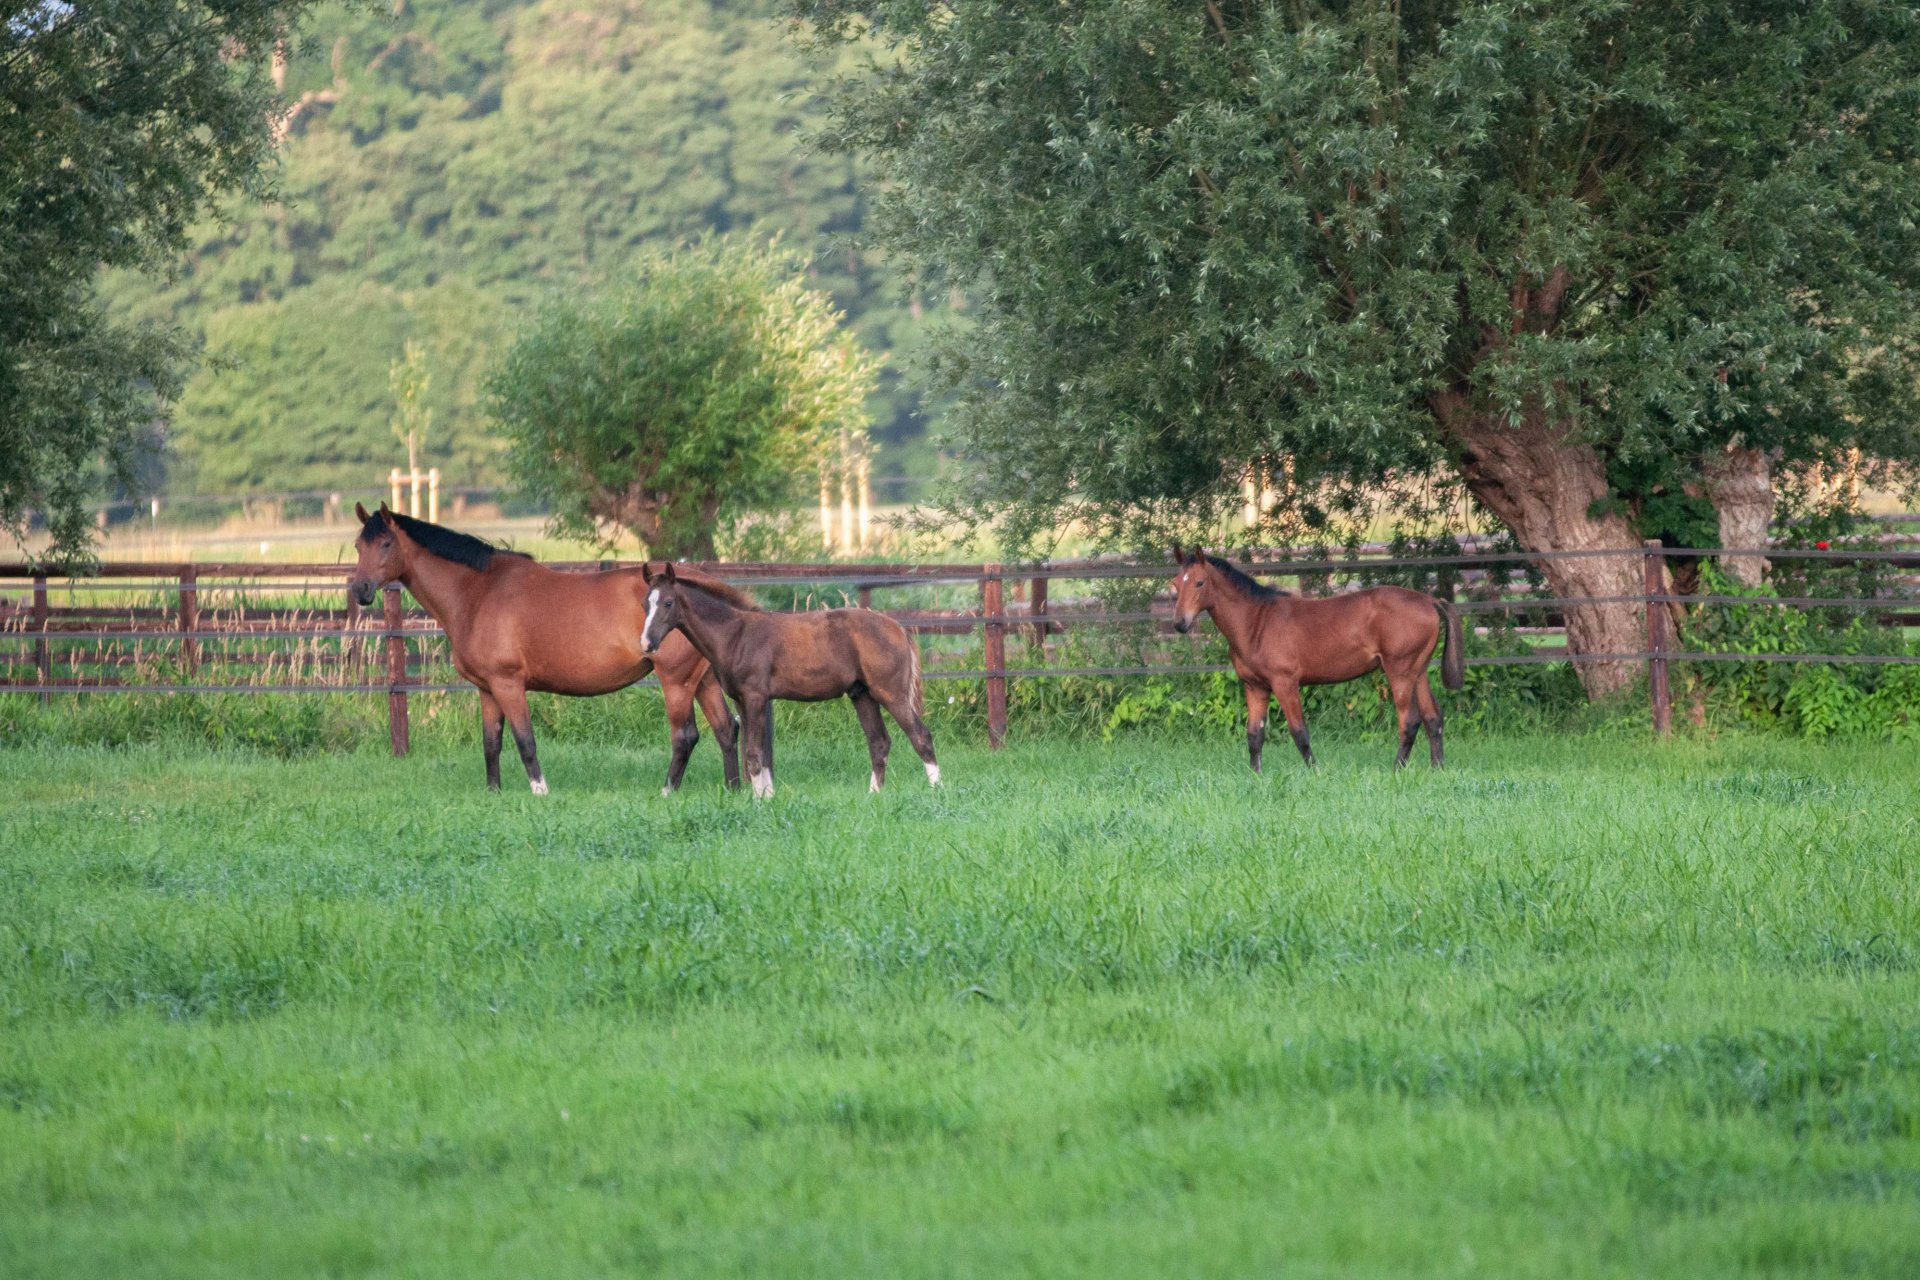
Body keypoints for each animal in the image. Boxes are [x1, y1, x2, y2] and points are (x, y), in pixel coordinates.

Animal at [341, 506, 737, 794]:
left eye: (387, 544)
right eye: (359, 546)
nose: (361, 589)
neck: (478, 593)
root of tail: (702, 583)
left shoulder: (508, 684)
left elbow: (524, 740)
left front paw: (540, 791)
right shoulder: (487, 689)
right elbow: (491, 743)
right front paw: (494, 793)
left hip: (676, 681)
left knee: (685, 736)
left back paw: (668, 790)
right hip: (702, 681)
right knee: (726, 728)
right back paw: (734, 788)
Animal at [637, 564, 936, 794]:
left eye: (668, 602)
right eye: (644, 604)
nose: (647, 643)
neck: (735, 634)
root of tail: (898, 627)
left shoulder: (755, 697)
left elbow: (754, 755)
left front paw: (761, 802)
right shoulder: (742, 700)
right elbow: (757, 755)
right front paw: (765, 798)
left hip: (891, 693)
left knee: (921, 736)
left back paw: (936, 792)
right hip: (862, 695)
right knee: (879, 742)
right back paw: (874, 795)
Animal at [1159, 545, 1459, 771]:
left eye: (1199, 582)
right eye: (1175, 583)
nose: (1180, 624)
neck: (1256, 622)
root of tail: (1430, 601)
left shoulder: (1285, 684)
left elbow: (1299, 732)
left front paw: (1315, 771)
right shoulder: (1255, 687)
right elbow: (1254, 735)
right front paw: (1255, 775)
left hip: (1400, 673)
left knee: (1409, 721)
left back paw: (1397, 769)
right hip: (1417, 672)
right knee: (1433, 718)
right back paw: (1437, 768)